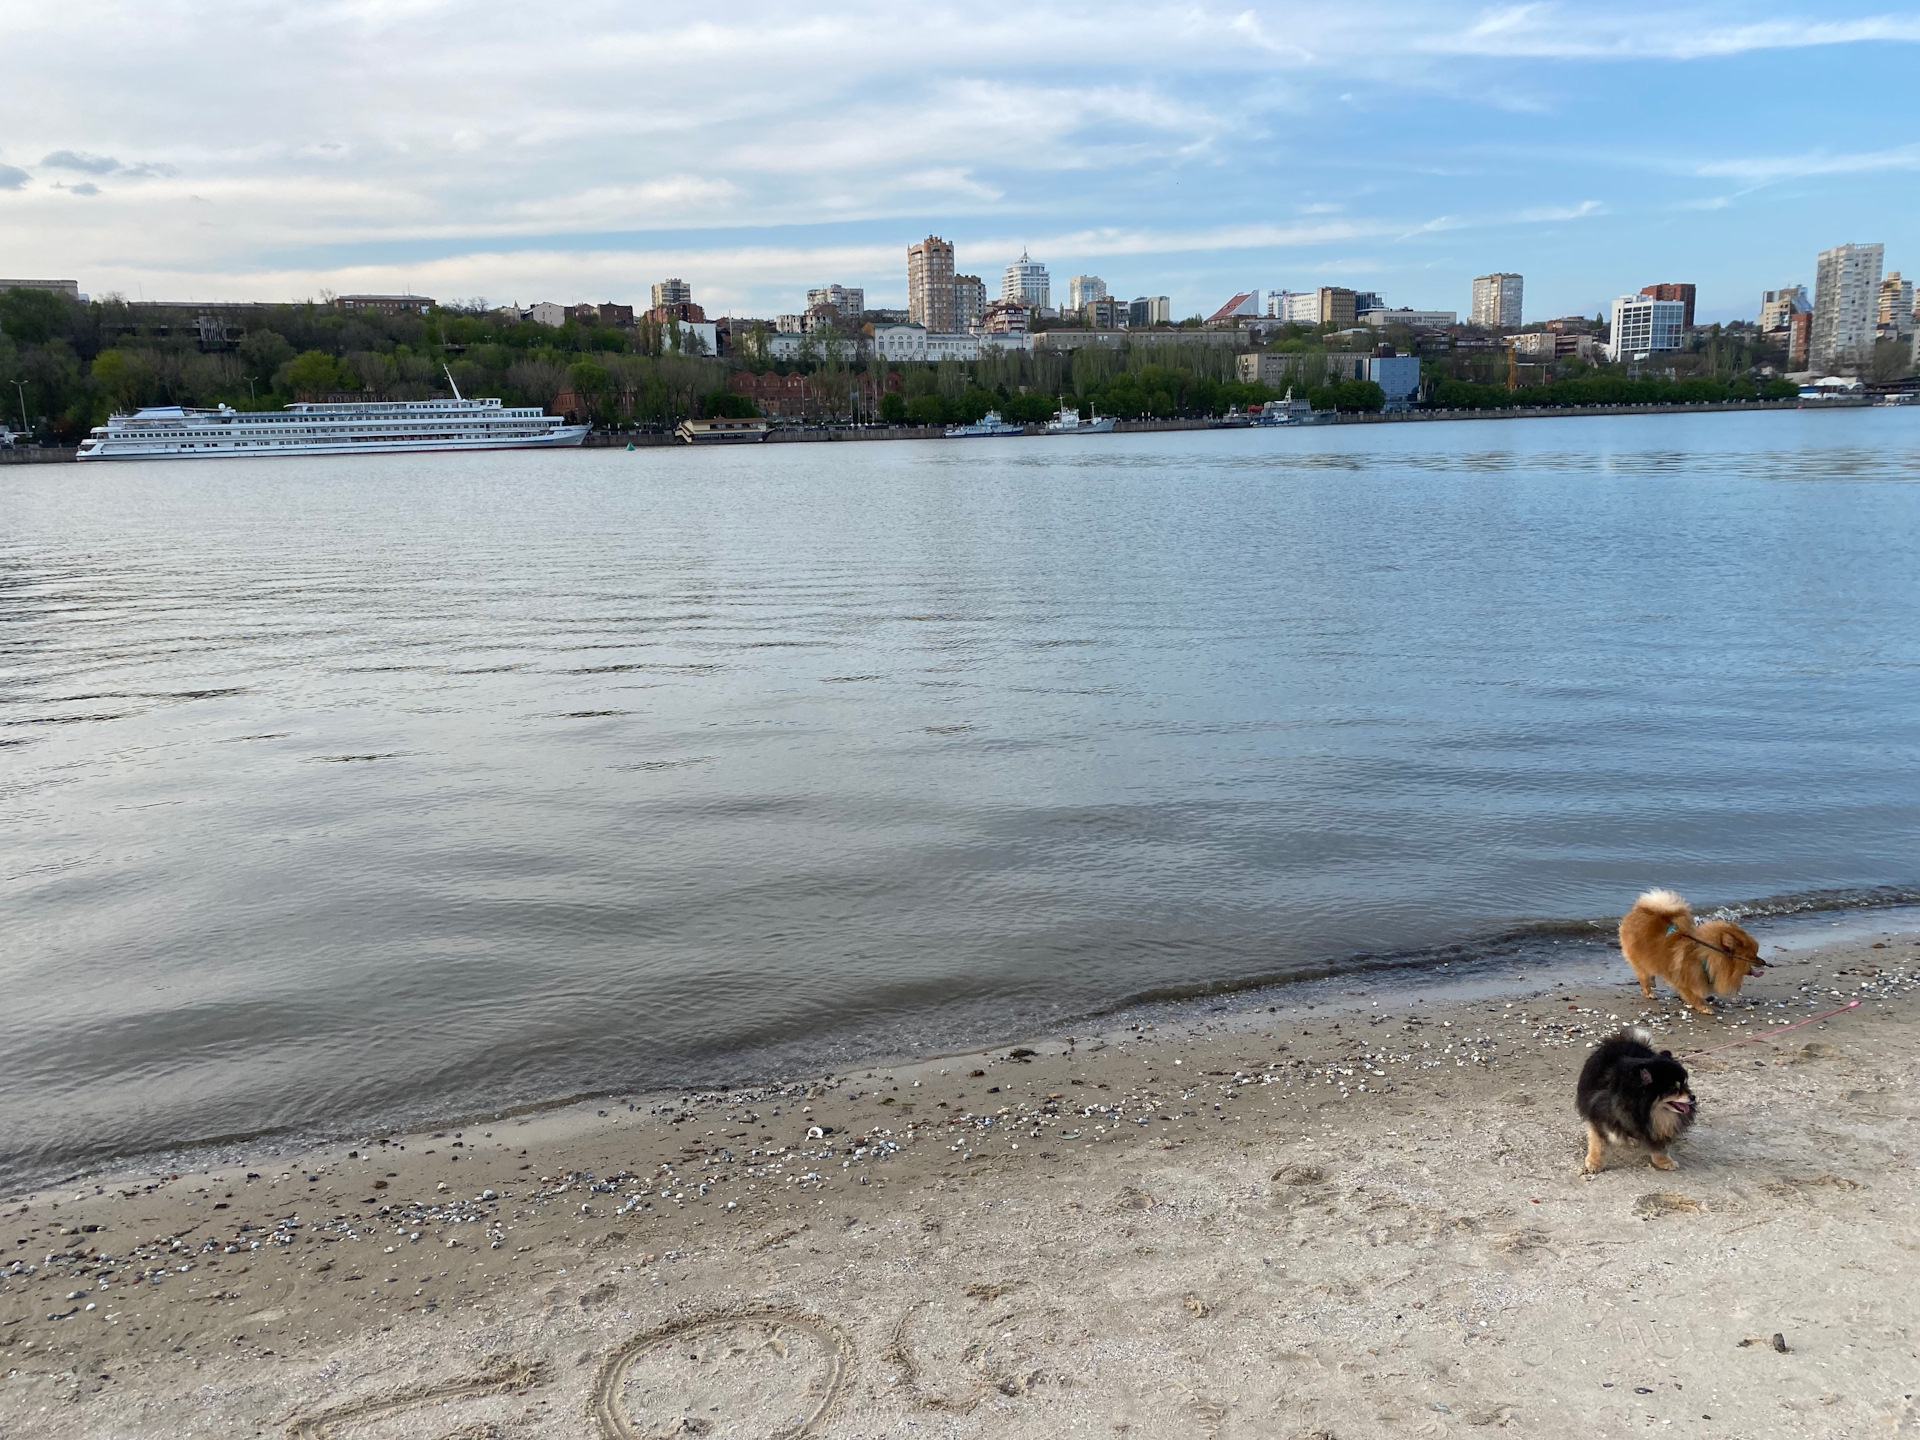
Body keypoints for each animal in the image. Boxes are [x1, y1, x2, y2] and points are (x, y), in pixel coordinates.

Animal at [1574, 1029, 1697, 1175]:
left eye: (1685, 1084)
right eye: (1674, 1089)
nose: (1693, 1097)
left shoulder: (1654, 1127)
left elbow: (1658, 1145)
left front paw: (1664, 1161)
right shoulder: (1599, 1115)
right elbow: (1598, 1142)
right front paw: (1594, 1163)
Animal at [1612, 890, 1758, 1013]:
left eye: (1756, 953)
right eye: (1752, 956)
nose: (1762, 962)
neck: (1705, 957)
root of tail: (1640, 910)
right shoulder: (1684, 980)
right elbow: (1693, 995)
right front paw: (1703, 1007)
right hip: (1639, 958)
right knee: (1643, 976)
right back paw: (1649, 992)